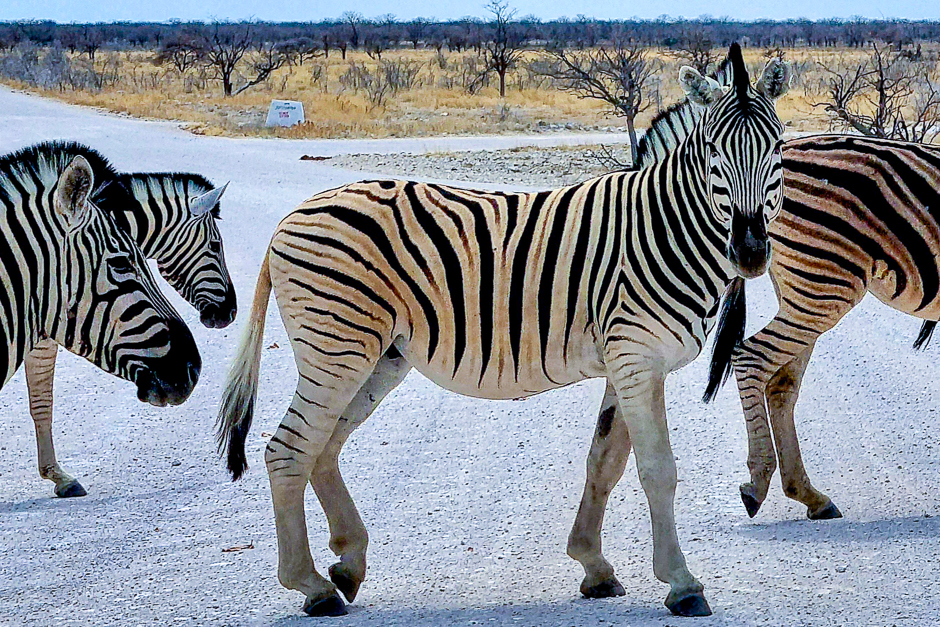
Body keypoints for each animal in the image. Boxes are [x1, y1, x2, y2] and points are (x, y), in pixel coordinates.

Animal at [217, 43, 788, 620]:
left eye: (777, 148)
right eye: (714, 153)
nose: (750, 253)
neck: (665, 228)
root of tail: (290, 218)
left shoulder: (625, 364)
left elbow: (604, 462)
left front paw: (593, 566)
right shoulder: (638, 359)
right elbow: (657, 470)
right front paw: (682, 584)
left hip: (379, 356)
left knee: (323, 447)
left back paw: (347, 565)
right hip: (338, 348)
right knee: (288, 451)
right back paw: (311, 586)